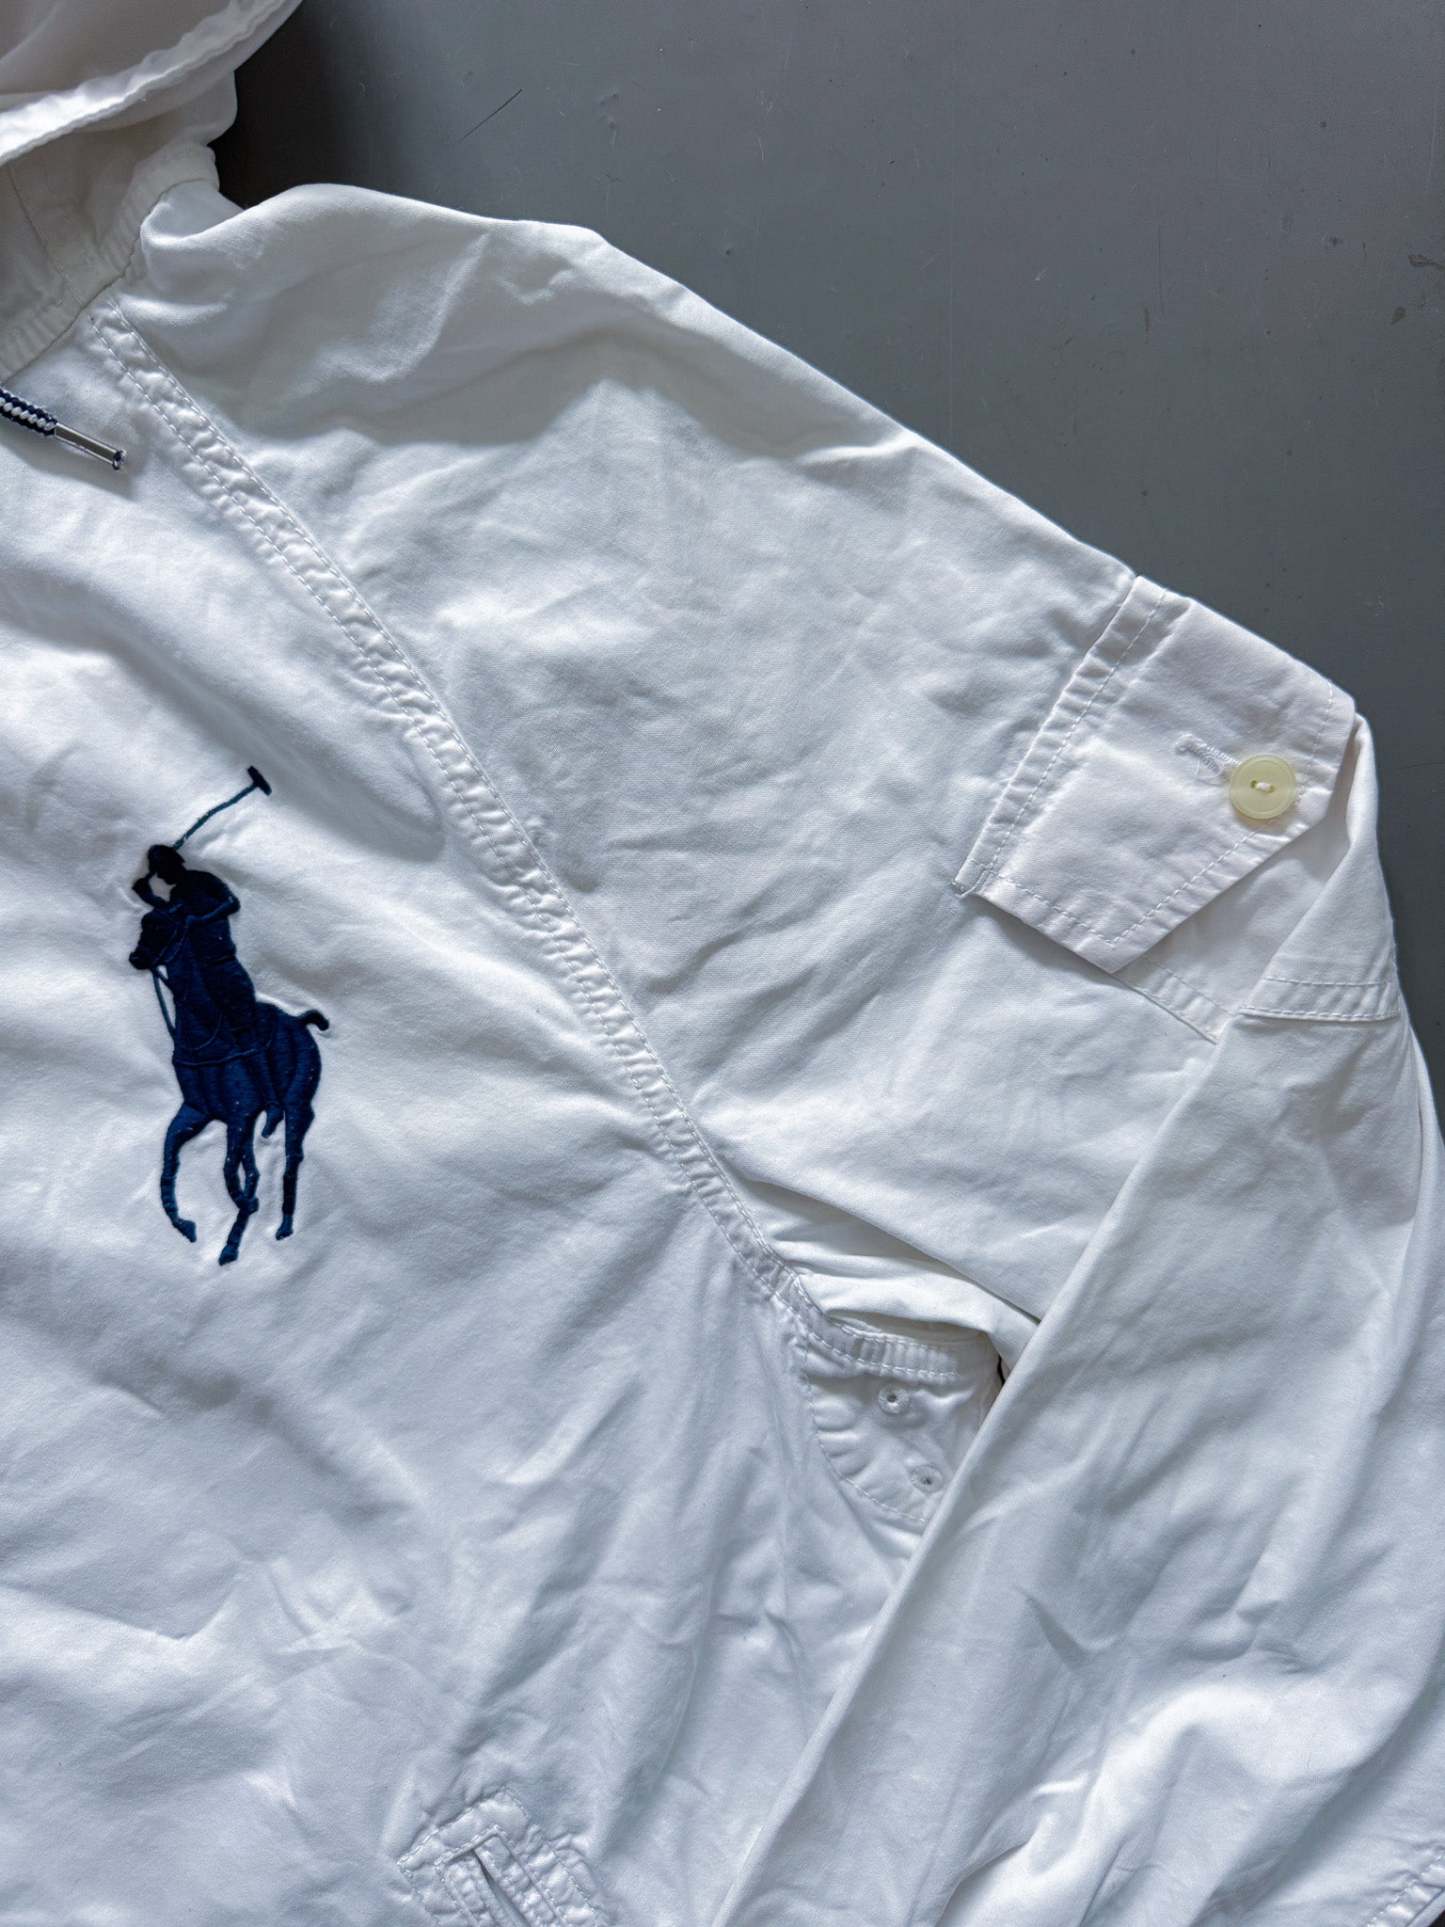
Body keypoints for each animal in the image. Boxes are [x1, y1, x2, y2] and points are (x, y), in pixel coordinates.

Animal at [129, 904, 327, 1264]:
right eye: (143, 924)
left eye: (162, 927)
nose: (137, 958)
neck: (203, 1032)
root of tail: (300, 1021)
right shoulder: (197, 1111)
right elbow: (169, 1164)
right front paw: (186, 1225)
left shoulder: (239, 1113)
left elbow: (227, 1171)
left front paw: (247, 1207)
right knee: (255, 1170)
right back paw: (234, 1241)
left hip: (296, 1104)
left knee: (291, 1159)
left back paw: (282, 1226)